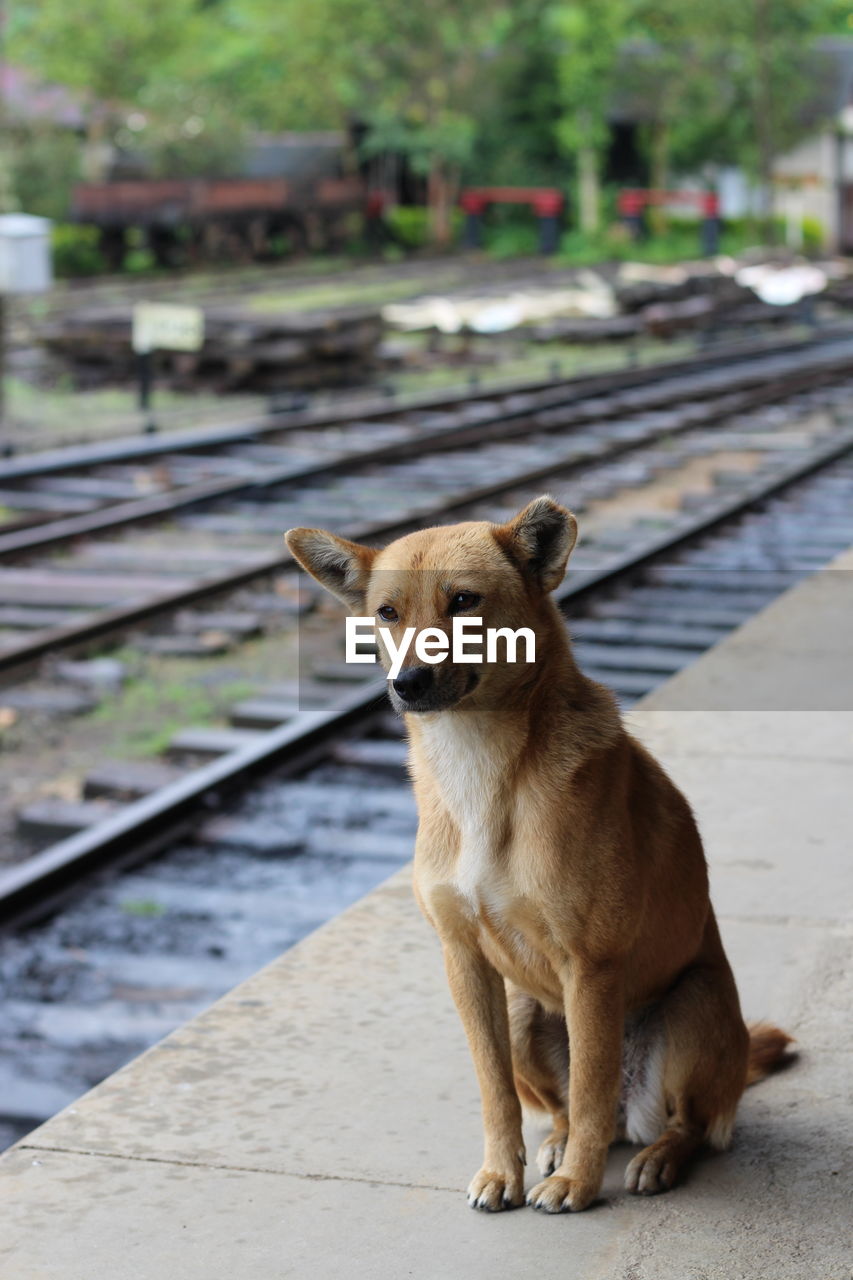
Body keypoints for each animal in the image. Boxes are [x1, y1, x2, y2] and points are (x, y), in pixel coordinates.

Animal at [286, 496, 788, 1208]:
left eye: (464, 600)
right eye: (386, 612)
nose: (407, 682)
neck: (479, 767)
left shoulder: (592, 967)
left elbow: (593, 1083)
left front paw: (579, 1183)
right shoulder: (464, 962)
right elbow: (495, 1091)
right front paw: (504, 1170)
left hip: (693, 1006)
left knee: (678, 1120)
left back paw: (654, 1156)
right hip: (525, 1011)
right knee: (563, 1107)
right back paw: (557, 1142)